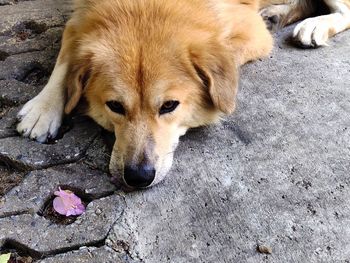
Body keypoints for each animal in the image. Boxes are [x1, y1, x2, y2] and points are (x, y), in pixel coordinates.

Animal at [16, 0, 350, 190]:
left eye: (169, 106)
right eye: (115, 106)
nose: (138, 177)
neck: (146, 6)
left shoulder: (249, 29)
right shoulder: (79, 19)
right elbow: (67, 57)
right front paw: (43, 108)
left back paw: (315, 25)